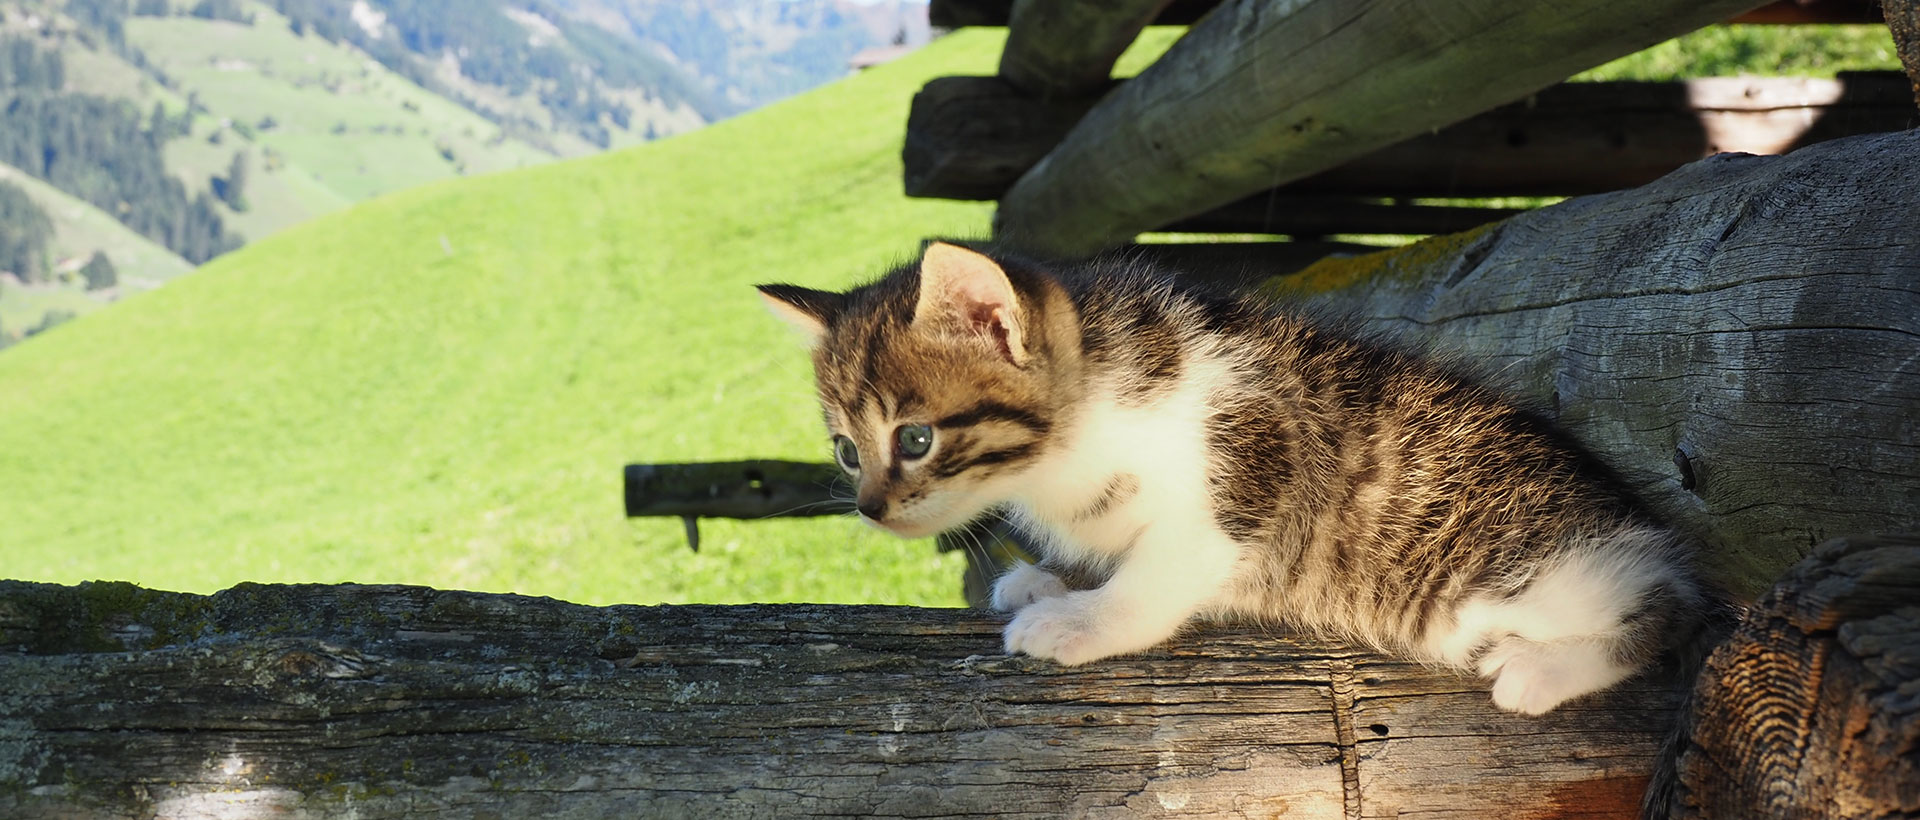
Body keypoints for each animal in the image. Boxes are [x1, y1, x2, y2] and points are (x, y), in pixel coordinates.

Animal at [756, 241, 1704, 714]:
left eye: (914, 439)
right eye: (846, 450)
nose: (871, 509)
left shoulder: (1247, 471)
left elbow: (1162, 572)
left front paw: (1080, 620)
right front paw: (1049, 578)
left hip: (1509, 587)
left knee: (1672, 617)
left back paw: (1542, 672)